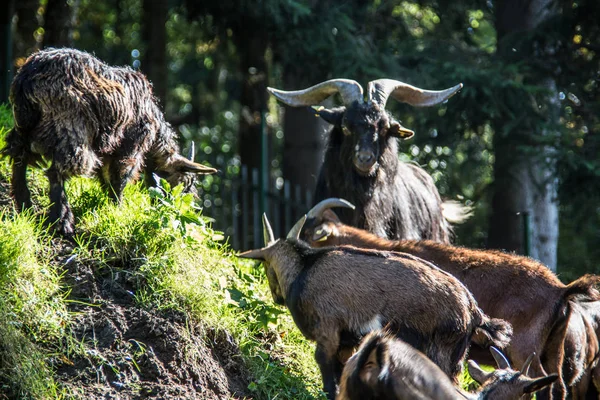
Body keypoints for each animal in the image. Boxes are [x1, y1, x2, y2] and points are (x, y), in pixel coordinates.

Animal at [2, 47, 216, 234]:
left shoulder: (107, 150)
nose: (181, 208)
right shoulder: (132, 145)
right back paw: (62, 221)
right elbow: (119, 177)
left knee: (18, 159)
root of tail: (28, 77)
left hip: (25, 126)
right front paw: (118, 208)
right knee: (57, 171)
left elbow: (105, 178)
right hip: (70, 128)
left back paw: (24, 205)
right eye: (183, 183)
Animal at [238, 214, 510, 398]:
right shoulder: (348, 341)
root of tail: (473, 310)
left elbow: (326, 369)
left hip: (441, 349)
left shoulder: (328, 329)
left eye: (265, 265)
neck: (306, 268)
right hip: (456, 355)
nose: (276, 297)